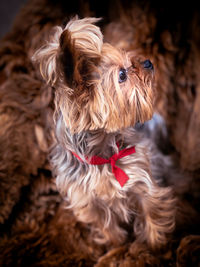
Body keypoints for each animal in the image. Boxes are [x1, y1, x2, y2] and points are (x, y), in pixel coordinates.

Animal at [33, 17, 177, 249]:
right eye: (122, 75)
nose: (147, 62)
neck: (102, 155)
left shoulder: (142, 181)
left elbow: (152, 215)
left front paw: (156, 247)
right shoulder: (88, 203)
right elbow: (106, 227)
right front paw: (116, 246)